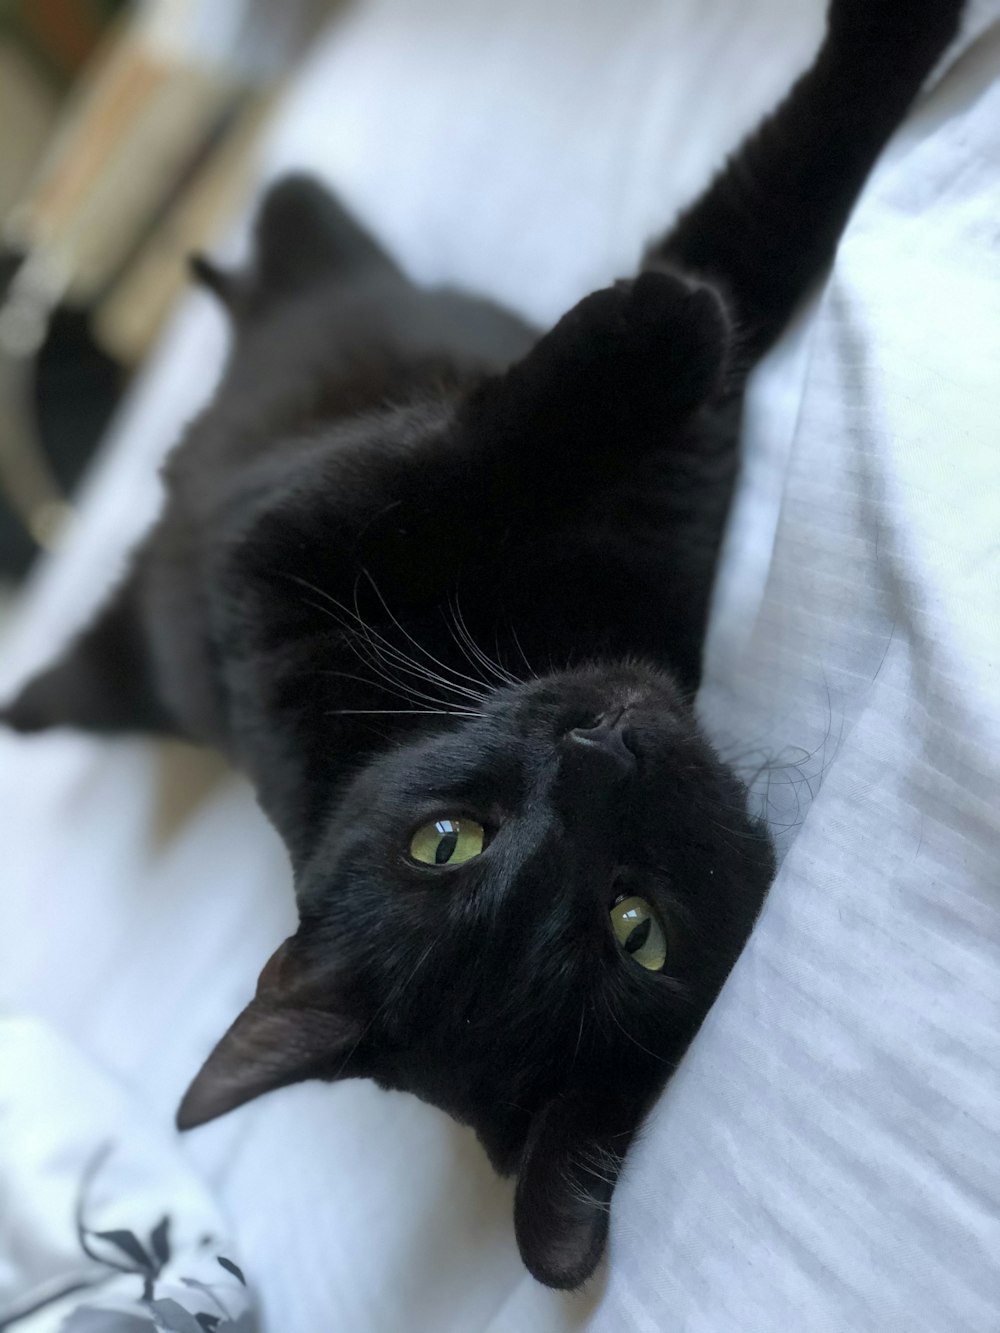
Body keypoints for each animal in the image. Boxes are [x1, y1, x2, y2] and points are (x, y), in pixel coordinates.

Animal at [3, 0, 965, 1290]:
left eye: (441, 842)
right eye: (634, 929)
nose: (602, 751)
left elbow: (760, 225)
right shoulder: (277, 553)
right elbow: (740, 228)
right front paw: (661, 317)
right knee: (313, 242)